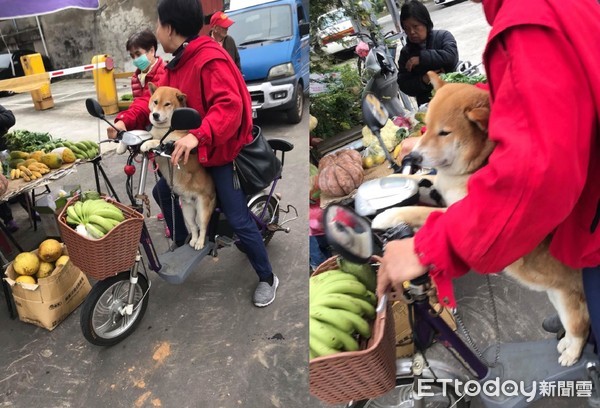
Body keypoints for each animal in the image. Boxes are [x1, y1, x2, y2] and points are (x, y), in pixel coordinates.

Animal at [138, 83, 216, 250]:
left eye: (167, 104)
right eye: (155, 102)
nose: (155, 115)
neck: (164, 129)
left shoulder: (174, 148)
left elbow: (158, 142)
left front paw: (147, 143)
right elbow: (152, 139)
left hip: (202, 209)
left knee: (203, 227)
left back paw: (199, 242)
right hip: (187, 210)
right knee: (193, 227)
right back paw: (193, 240)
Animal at [372, 72, 588, 366]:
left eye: (445, 132)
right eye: (426, 126)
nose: (413, 156)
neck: (477, 164)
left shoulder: (464, 214)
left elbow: (420, 213)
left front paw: (387, 214)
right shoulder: (441, 189)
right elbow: (420, 182)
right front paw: (393, 184)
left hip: (567, 300)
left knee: (581, 326)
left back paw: (572, 352)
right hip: (555, 291)